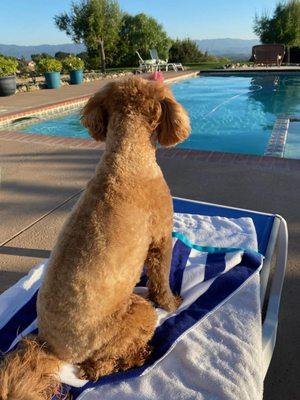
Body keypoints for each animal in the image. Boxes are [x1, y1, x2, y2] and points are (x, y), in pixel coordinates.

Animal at [0, 76, 190, 400]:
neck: (126, 155)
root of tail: (53, 349)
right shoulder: (161, 239)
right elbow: (161, 280)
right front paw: (172, 303)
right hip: (134, 315)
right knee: (100, 366)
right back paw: (137, 357)